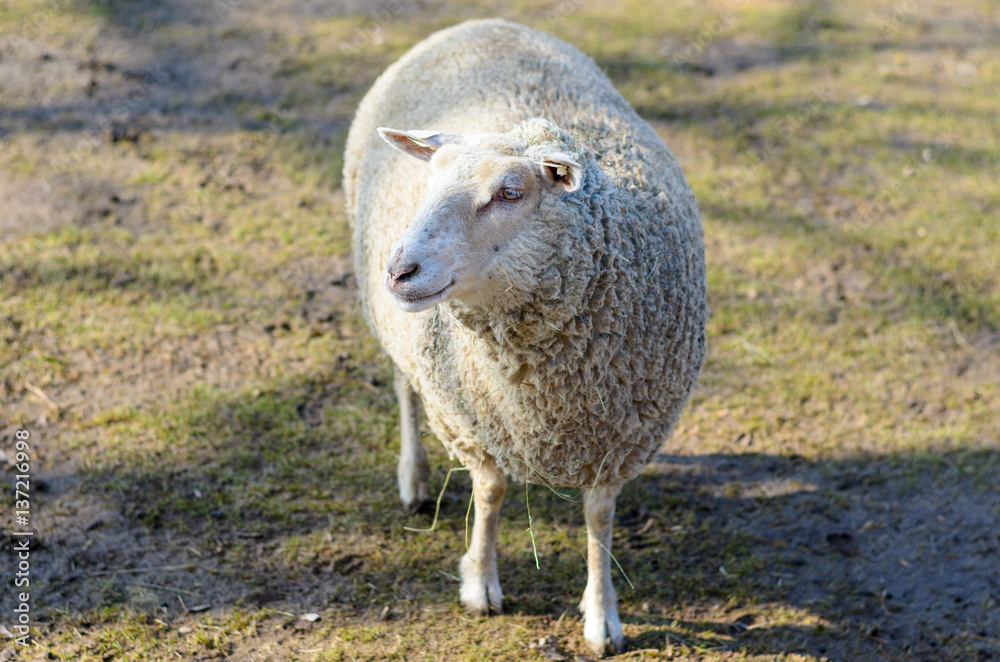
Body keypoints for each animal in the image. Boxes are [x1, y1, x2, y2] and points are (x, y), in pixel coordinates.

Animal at [342, 18, 707, 656]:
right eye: (427, 183)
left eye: (510, 193)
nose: (400, 271)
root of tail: (483, 22)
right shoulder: (474, 420)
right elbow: (490, 495)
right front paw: (480, 584)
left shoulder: (617, 435)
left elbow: (599, 519)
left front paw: (602, 616)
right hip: (402, 337)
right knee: (405, 387)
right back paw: (413, 478)